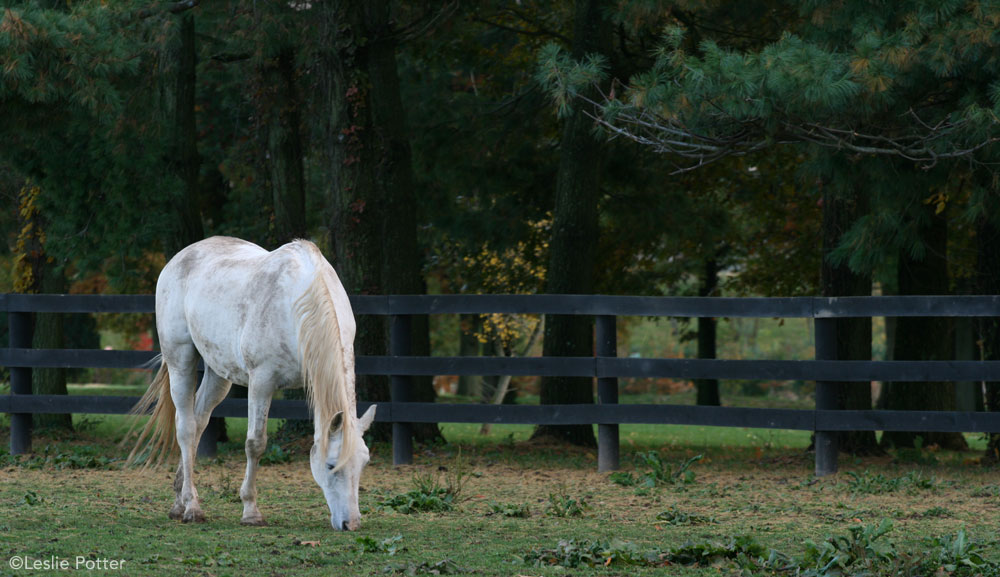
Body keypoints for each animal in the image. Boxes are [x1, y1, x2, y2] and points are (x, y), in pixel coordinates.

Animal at [126, 235, 376, 532]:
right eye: (330, 466)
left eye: (364, 463)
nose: (352, 523)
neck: (295, 304)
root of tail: (179, 258)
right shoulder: (261, 382)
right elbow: (255, 443)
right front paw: (250, 511)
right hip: (180, 361)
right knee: (186, 428)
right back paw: (192, 507)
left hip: (218, 374)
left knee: (198, 423)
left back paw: (179, 503)